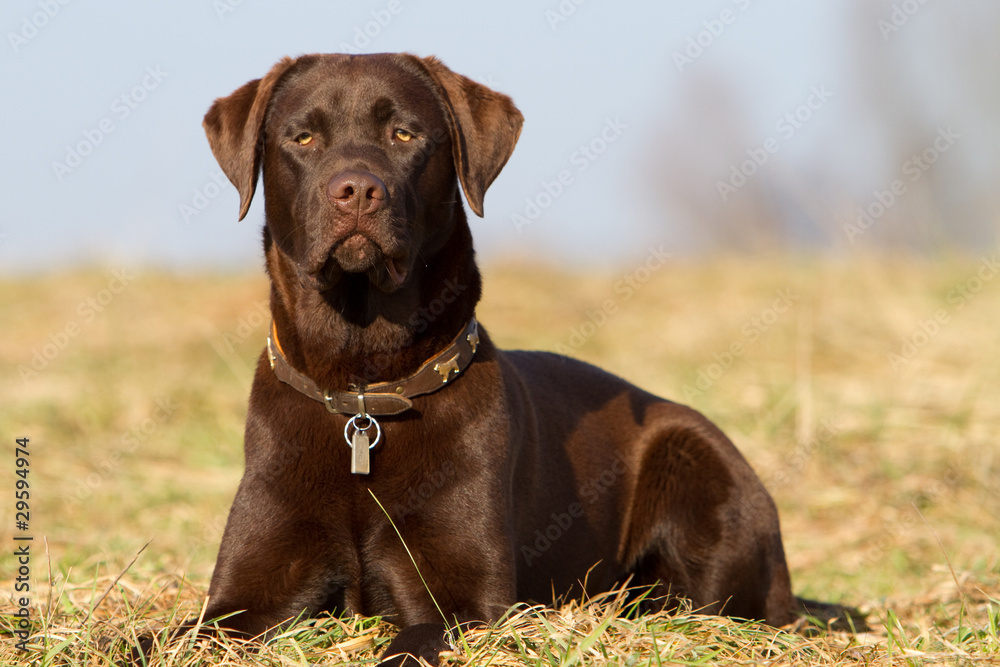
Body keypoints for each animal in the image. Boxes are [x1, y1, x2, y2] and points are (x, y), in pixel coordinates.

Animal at [197, 53, 804, 667]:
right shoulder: (238, 600)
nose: (358, 191)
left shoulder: (466, 600)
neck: (363, 389)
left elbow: (412, 641)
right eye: (303, 137)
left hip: (691, 462)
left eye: (404, 134)